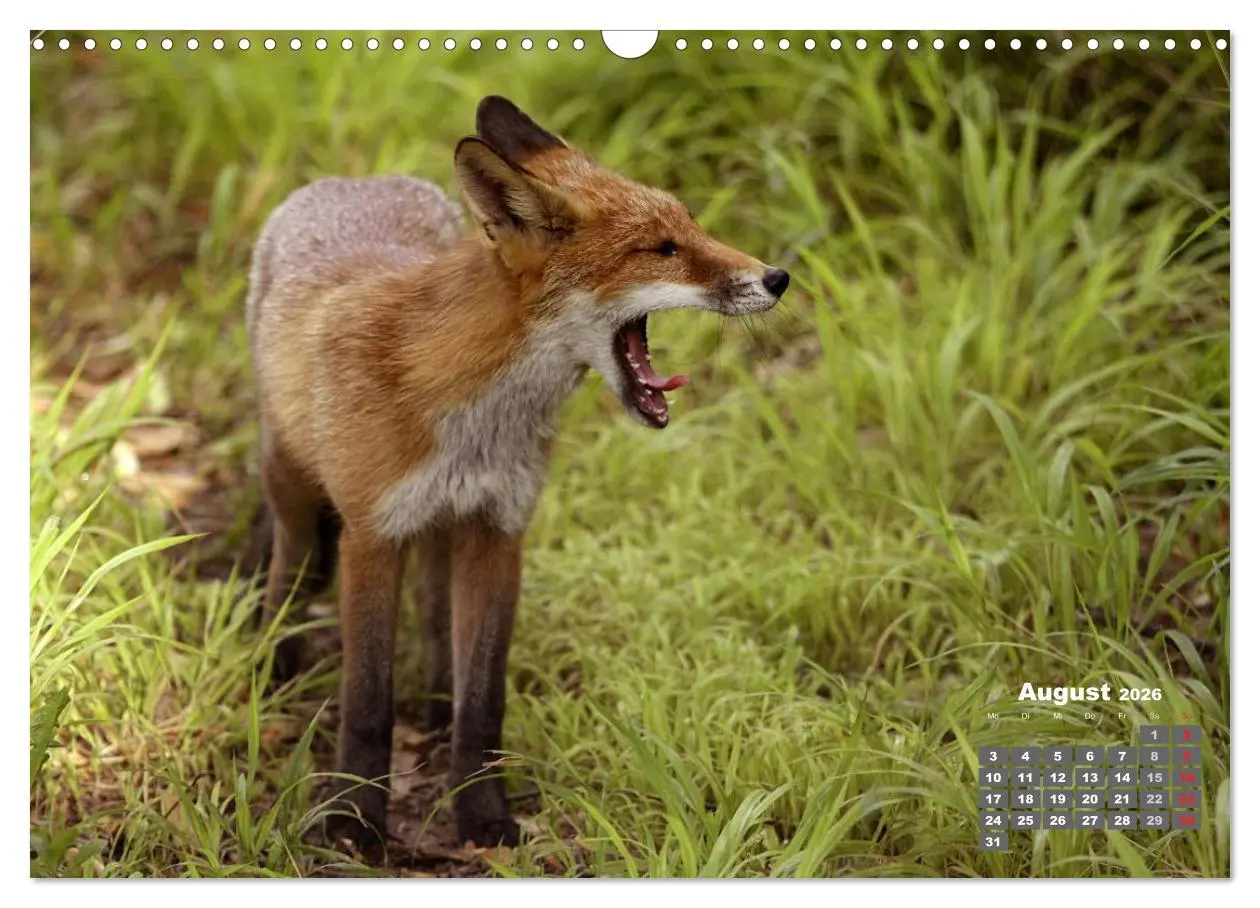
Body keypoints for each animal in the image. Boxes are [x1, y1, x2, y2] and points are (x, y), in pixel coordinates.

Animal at [246, 96, 789, 853]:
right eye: (661, 249)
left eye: (691, 226)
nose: (778, 277)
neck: (472, 419)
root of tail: (356, 179)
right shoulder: (370, 535)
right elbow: (368, 703)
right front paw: (354, 821)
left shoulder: (498, 528)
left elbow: (484, 704)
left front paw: (481, 814)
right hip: (294, 492)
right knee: (289, 574)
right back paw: (276, 671)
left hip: (439, 531)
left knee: (436, 618)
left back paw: (434, 706)